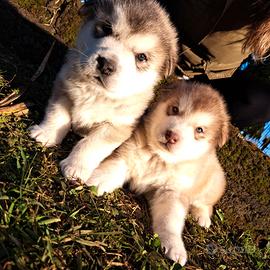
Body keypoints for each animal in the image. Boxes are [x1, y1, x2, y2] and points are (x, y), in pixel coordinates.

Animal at [88, 80, 230, 266]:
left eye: (199, 130)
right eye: (175, 109)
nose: (171, 135)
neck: (159, 158)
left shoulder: (172, 193)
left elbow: (170, 220)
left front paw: (174, 246)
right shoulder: (125, 158)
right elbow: (109, 170)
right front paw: (90, 180)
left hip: (213, 183)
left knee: (205, 204)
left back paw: (203, 218)